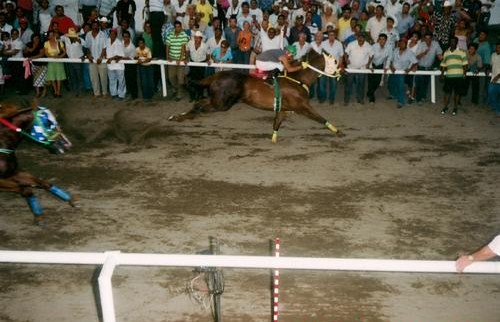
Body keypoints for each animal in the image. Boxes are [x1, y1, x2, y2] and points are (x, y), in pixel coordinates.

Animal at [170, 50, 346, 142]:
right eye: (336, 62)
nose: (343, 71)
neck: (299, 79)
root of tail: (217, 75)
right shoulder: (302, 106)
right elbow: (320, 118)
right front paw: (338, 131)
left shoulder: (282, 109)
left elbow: (276, 124)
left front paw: (273, 139)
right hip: (222, 104)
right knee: (200, 106)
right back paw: (180, 117)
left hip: (217, 100)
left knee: (198, 103)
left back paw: (177, 116)